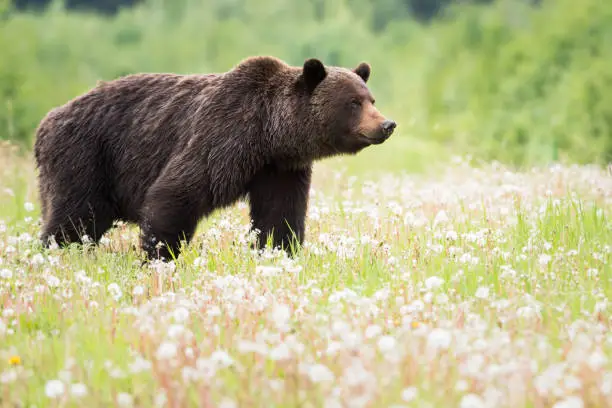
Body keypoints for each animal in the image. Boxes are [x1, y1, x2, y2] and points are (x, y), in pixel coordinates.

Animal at [33, 55, 396, 262]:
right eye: (353, 102)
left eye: (371, 98)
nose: (386, 124)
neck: (269, 135)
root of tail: (46, 121)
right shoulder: (222, 137)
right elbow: (176, 191)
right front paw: (160, 254)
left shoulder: (280, 169)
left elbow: (279, 214)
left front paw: (279, 251)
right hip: (85, 156)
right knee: (75, 217)